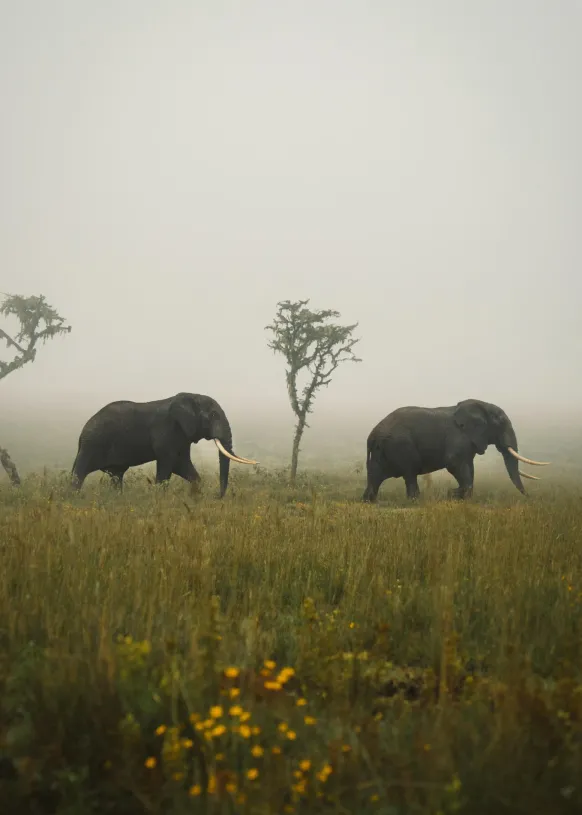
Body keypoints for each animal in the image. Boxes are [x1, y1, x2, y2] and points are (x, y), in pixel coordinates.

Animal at [71, 392, 257, 496]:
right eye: (213, 415)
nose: (217, 497)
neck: (190, 397)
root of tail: (82, 431)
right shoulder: (167, 431)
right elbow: (168, 464)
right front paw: (161, 499)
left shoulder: (182, 435)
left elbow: (182, 465)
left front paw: (196, 496)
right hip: (92, 443)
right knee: (79, 473)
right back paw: (74, 497)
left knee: (116, 476)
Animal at [362, 398, 550, 502]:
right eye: (501, 422)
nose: (530, 497)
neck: (481, 405)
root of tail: (372, 435)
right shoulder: (458, 437)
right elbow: (454, 464)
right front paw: (453, 494)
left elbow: (469, 468)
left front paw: (459, 497)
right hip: (401, 446)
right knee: (409, 473)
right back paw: (414, 501)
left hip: (382, 451)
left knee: (376, 475)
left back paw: (369, 501)